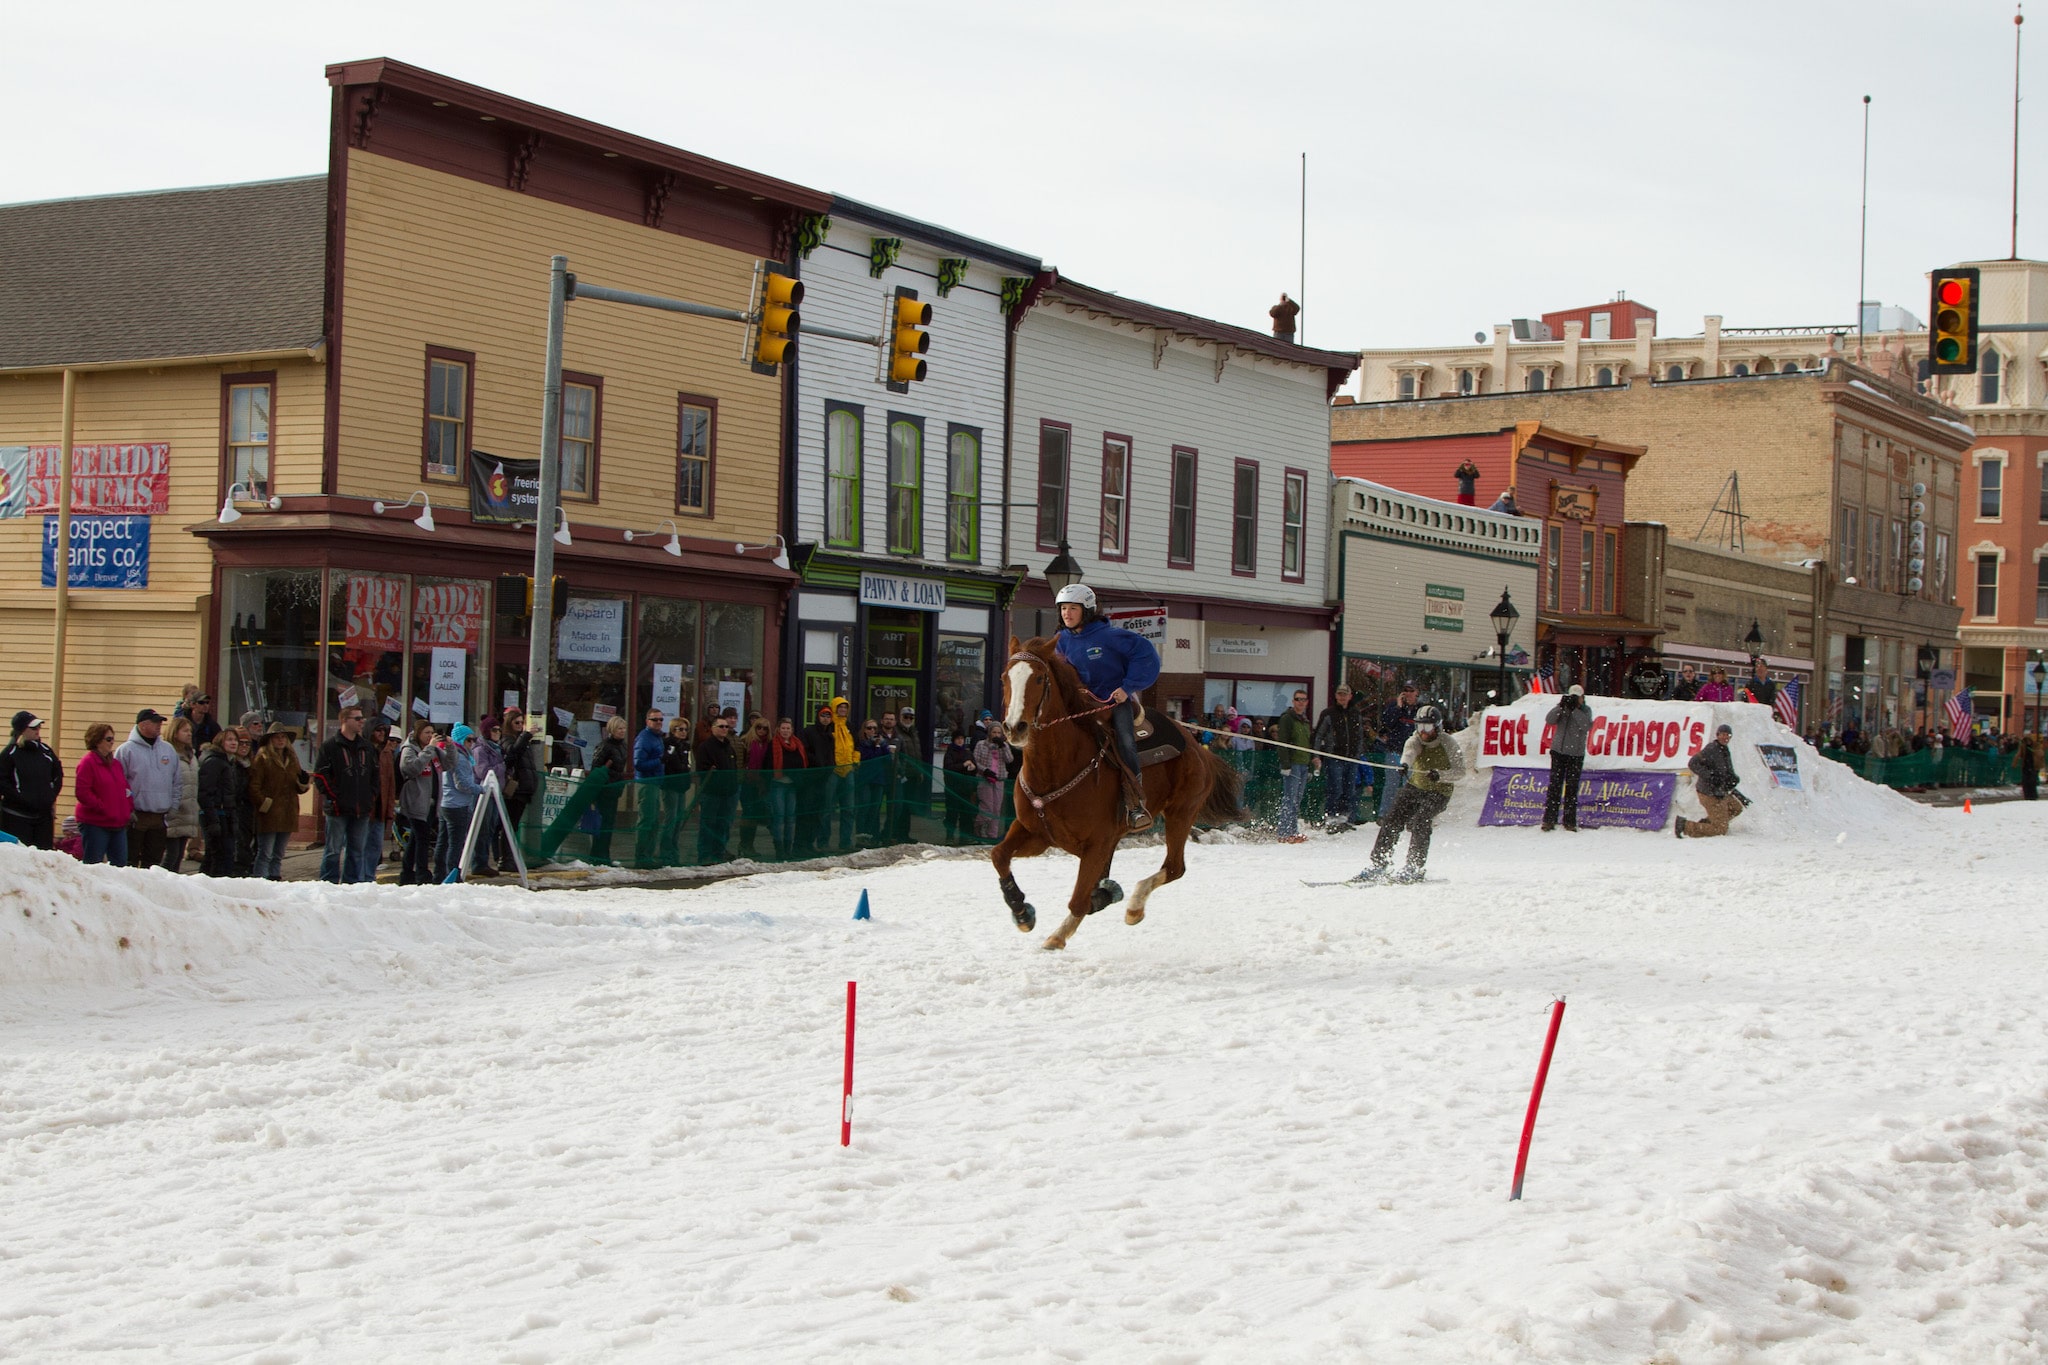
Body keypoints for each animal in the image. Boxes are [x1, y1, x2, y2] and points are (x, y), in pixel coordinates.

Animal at [991, 638, 1245, 949]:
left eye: (1039, 678)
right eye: (1005, 677)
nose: (1014, 727)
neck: (1057, 769)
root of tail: (1198, 747)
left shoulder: (1096, 844)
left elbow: (1079, 901)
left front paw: (1058, 935)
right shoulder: (1036, 834)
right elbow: (999, 855)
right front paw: (1021, 911)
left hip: (1181, 813)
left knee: (1175, 868)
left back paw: (1134, 906)